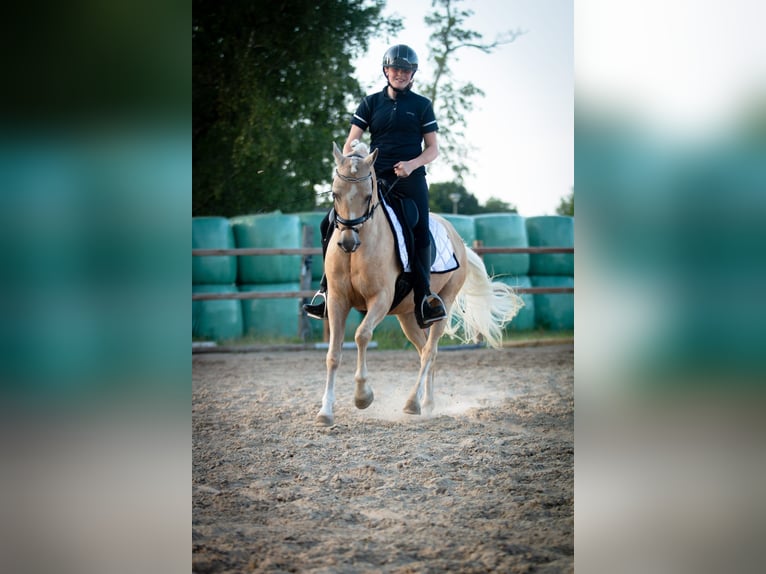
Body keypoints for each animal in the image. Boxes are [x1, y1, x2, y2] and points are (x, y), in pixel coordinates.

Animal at [315, 141, 523, 426]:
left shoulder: (380, 299)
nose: (348, 243)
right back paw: (428, 403)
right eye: (335, 194)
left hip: (443, 304)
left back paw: (413, 403)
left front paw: (363, 396)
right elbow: (333, 354)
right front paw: (325, 412)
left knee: (430, 352)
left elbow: (362, 335)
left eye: (368, 196)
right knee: (424, 348)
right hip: (408, 316)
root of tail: (458, 239)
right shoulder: (337, 300)